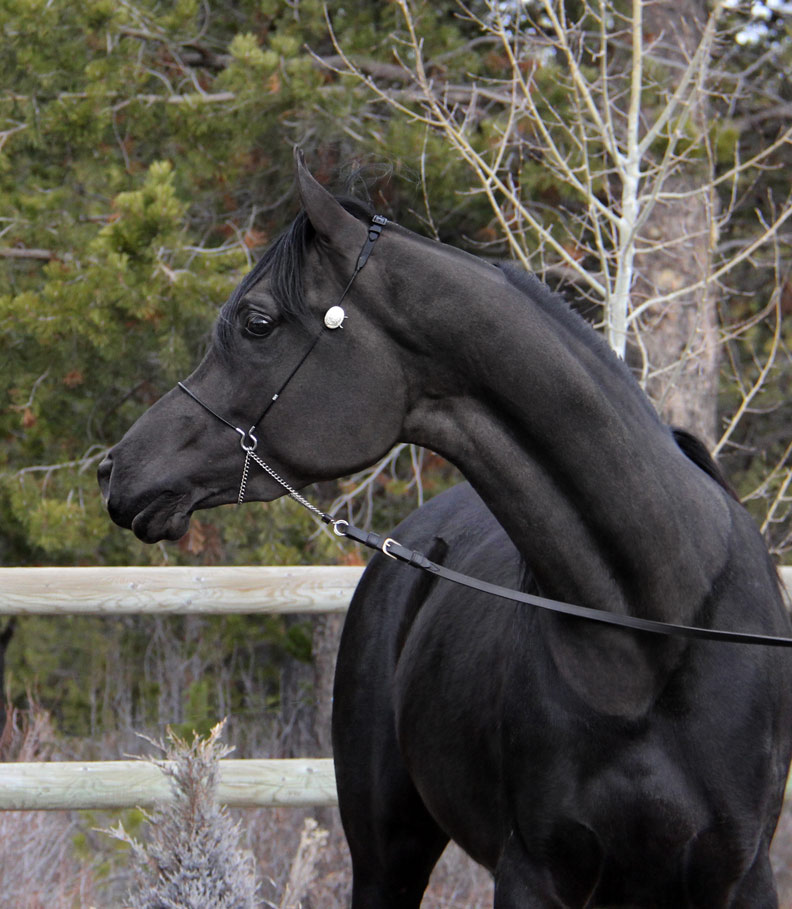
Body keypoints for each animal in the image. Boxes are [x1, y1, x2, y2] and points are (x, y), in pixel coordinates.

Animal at [98, 149, 792, 907]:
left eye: (256, 322)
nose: (115, 469)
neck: (658, 629)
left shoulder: (741, 876)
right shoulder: (532, 873)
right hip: (387, 857)